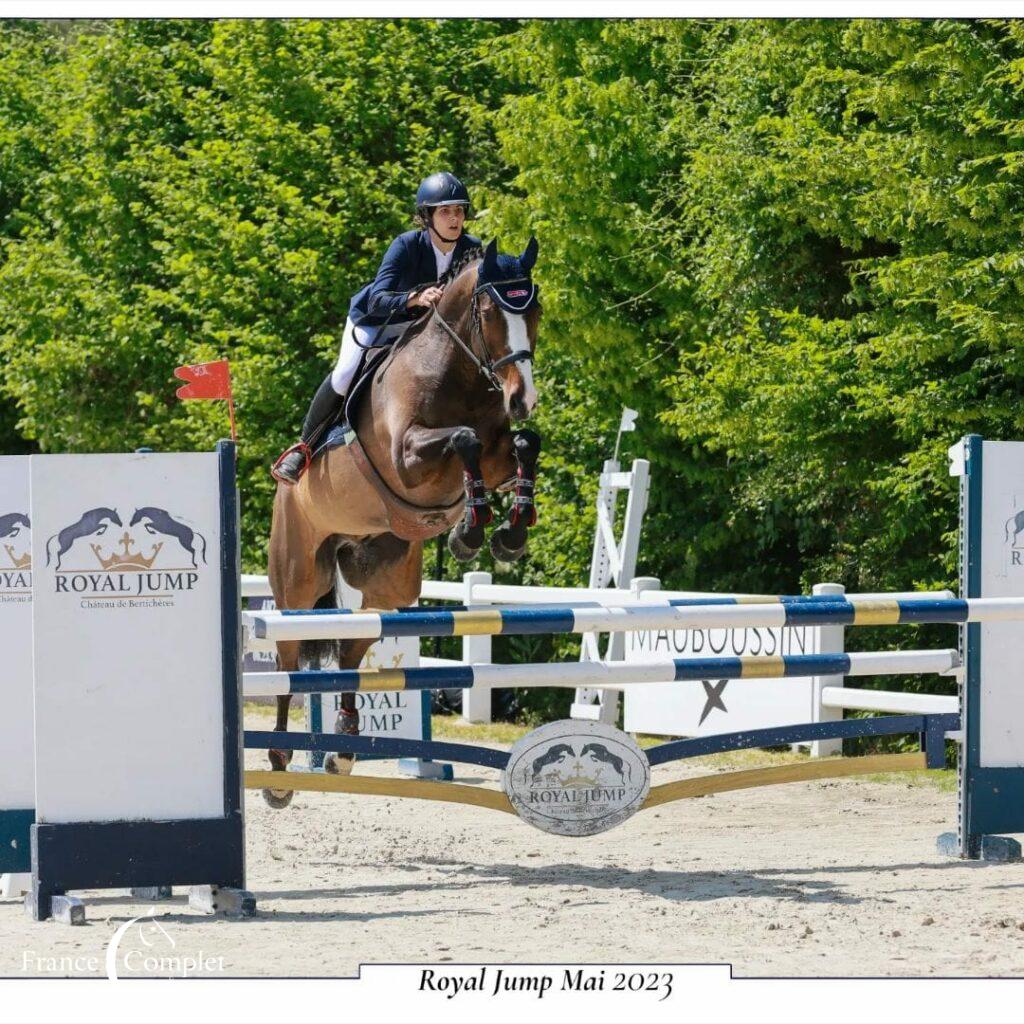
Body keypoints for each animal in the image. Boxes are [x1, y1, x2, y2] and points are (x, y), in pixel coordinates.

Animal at [266, 235, 544, 802]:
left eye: (536, 311)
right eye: (490, 312)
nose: (523, 399)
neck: (460, 373)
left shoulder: (499, 453)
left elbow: (524, 445)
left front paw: (505, 532)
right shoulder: (407, 458)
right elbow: (464, 439)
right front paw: (472, 529)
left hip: (386, 584)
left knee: (351, 653)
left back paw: (344, 750)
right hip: (298, 579)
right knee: (287, 662)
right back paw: (280, 769)